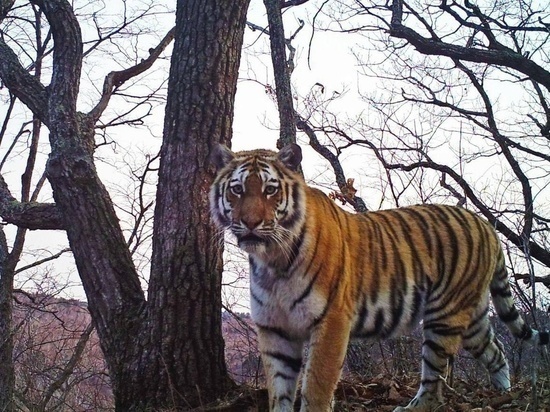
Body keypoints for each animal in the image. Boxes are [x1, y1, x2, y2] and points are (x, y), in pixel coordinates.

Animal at [209, 142, 548, 412]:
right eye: (237, 189)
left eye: (270, 189)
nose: (250, 223)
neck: (271, 261)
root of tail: (487, 225)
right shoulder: (274, 327)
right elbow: (279, 390)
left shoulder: (332, 321)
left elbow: (316, 386)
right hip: (473, 315)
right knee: (496, 351)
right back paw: (503, 395)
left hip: (445, 316)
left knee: (435, 379)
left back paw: (414, 407)